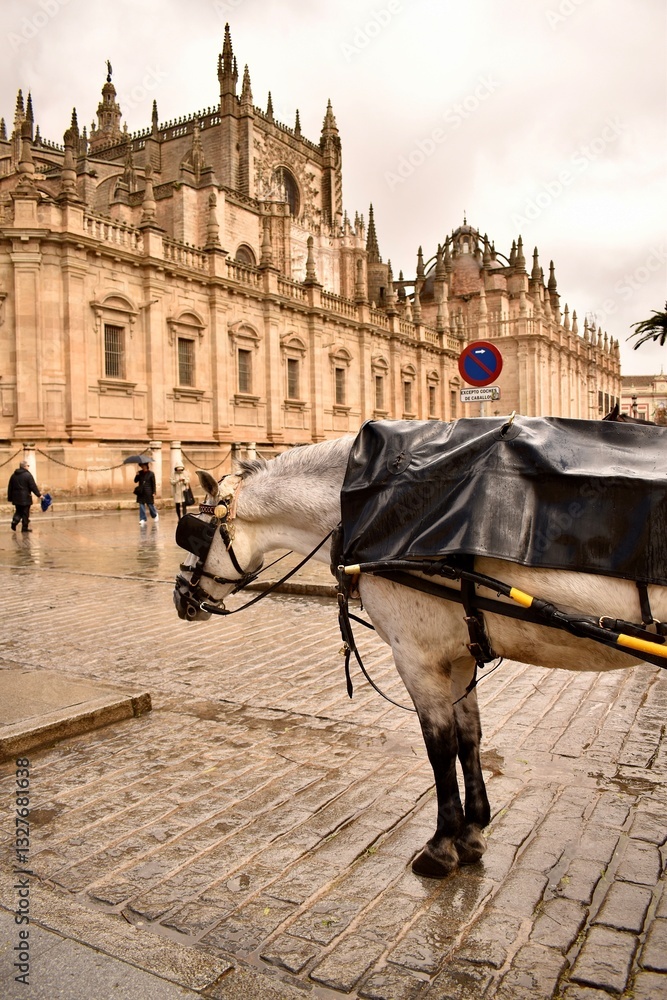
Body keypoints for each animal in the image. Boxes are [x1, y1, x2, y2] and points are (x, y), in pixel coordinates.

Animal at [173, 425, 667, 879]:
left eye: (194, 533)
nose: (180, 596)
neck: (367, 512)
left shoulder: (417, 658)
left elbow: (439, 746)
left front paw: (442, 843)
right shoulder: (461, 655)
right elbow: (469, 737)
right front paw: (473, 830)